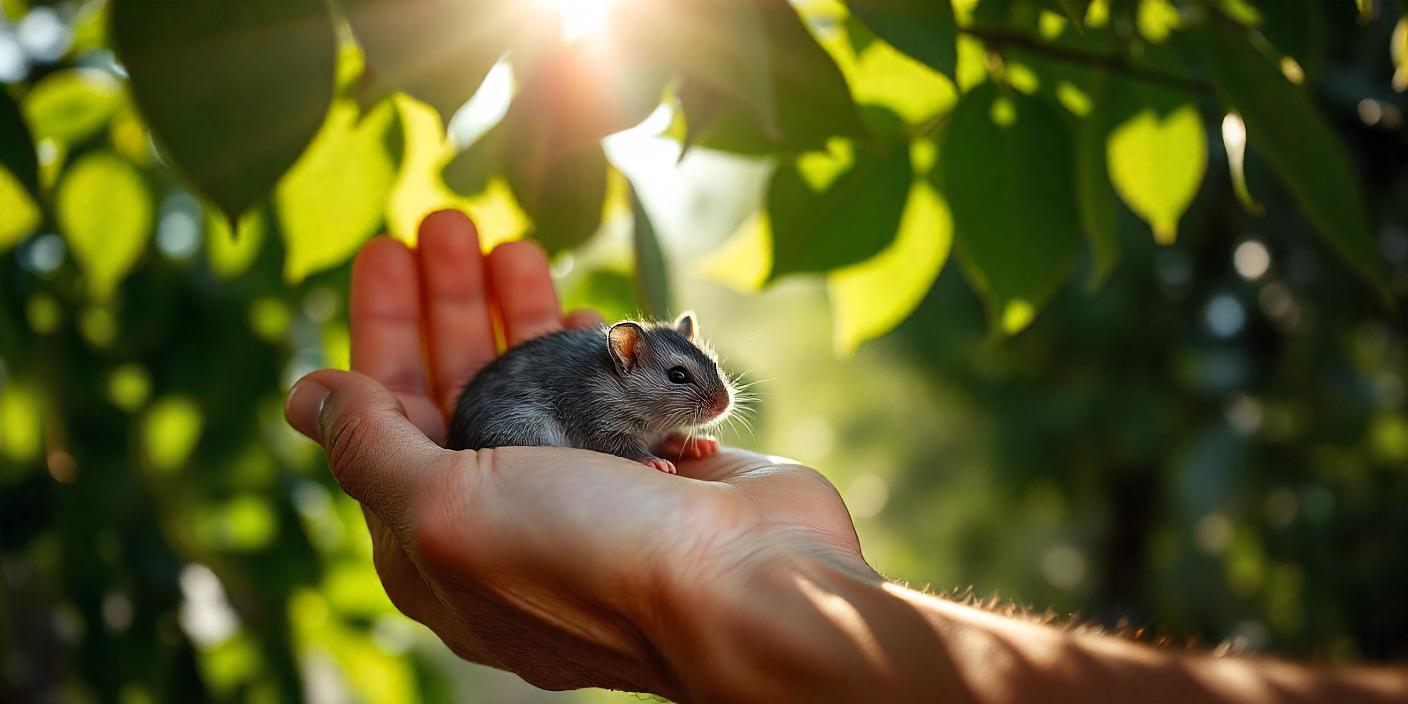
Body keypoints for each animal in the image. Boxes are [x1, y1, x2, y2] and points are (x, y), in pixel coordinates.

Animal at [447, 312, 737, 473]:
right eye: (678, 375)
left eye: (713, 362)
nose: (724, 405)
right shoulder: (599, 421)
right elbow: (624, 446)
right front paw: (657, 463)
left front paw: (704, 444)